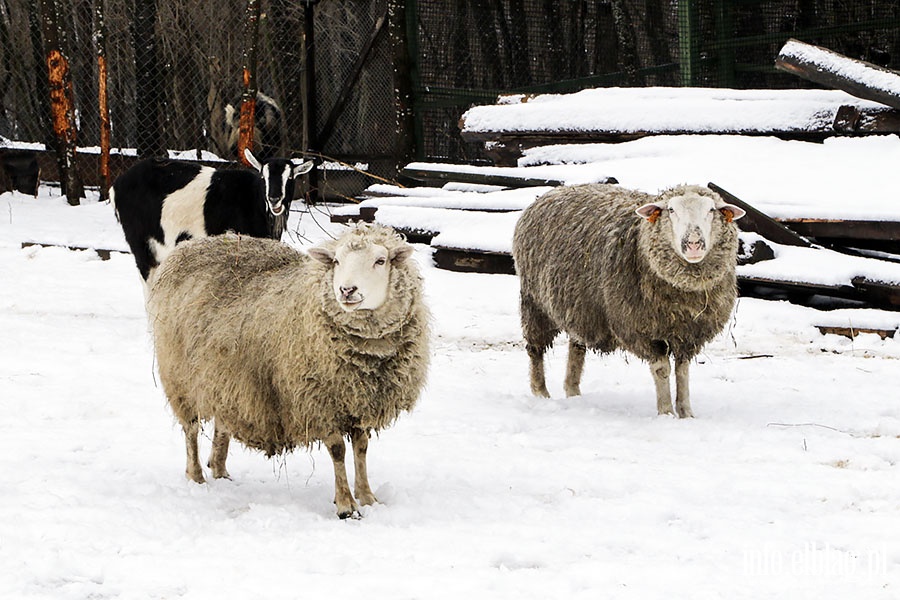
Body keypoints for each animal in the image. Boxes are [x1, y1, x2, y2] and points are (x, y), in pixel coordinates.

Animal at [110, 149, 312, 288]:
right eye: (264, 176)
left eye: (290, 177)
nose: (274, 198)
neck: (253, 200)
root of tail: (117, 185)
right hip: (140, 242)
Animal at [147, 223, 428, 516]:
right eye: (336, 261)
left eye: (380, 260)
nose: (347, 290)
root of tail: (192, 246)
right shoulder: (318, 402)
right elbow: (338, 450)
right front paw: (345, 505)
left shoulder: (357, 402)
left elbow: (361, 448)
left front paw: (367, 496)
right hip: (180, 377)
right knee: (191, 430)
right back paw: (196, 475)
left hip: (226, 379)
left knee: (222, 424)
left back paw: (220, 469)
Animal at [512, 183, 744, 418]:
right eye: (671, 210)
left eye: (711, 210)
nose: (694, 243)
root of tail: (553, 191)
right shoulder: (642, 330)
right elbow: (662, 370)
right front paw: (666, 412)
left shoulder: (689, 333)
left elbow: (683, 371)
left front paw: (686, 412)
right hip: (535, 302)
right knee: (536, 349)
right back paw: (541, 392)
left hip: (580, 307)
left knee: (576, 346)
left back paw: (573, 391)